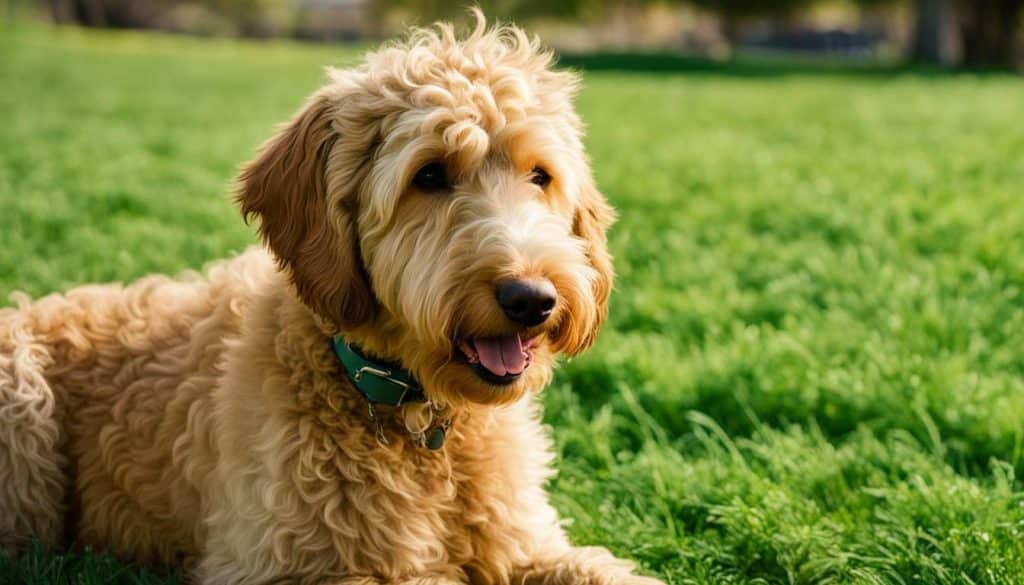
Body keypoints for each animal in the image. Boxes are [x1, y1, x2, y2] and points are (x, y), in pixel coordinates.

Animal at [0, 13, 663, 585]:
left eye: (540, 176)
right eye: (429, 175)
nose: (532, 299)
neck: (416, 421)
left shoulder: (525, 544)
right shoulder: (274, 565)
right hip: (21, 398)